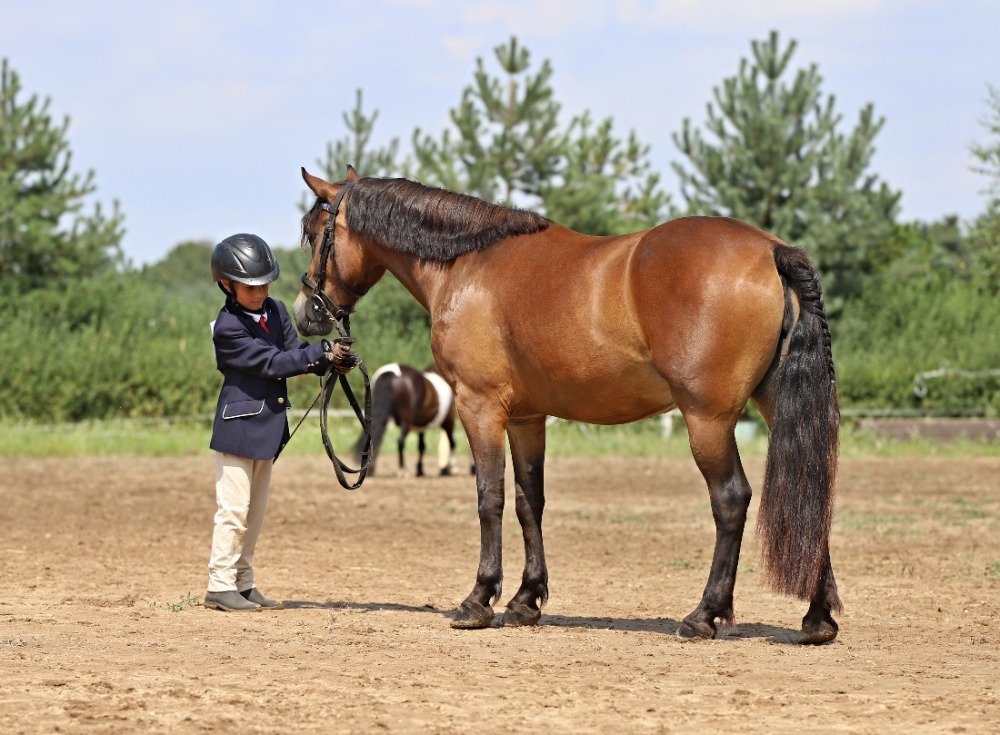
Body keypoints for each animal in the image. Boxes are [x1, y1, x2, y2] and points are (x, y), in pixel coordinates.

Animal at [296, 165, 844, 644]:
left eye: (314, 231)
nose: (306, 314)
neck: (466, 264)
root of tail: (771, 250)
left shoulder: (480, 408)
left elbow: (489, 499)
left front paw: (478, 600)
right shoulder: (526, 418)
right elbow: (528, 502)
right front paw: (525, 601)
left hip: (706, 419)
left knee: (731, 499)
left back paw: (703, 615)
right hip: (775, 408)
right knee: (812, 492)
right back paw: (817, 619)